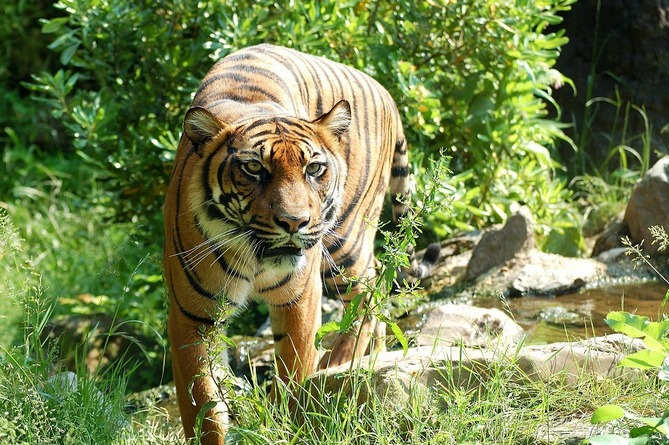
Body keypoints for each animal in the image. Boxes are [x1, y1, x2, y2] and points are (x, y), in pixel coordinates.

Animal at [163, 44, 413, 444]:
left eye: (314, 169)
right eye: (253, 169)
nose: (294, 222)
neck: (254, 258)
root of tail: (384, 90)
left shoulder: (300, 299)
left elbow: (294, 374)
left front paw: (290, 425)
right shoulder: (191, 316)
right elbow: (202, 404)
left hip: (344, 241)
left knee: (368, 290)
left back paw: (340, 361)